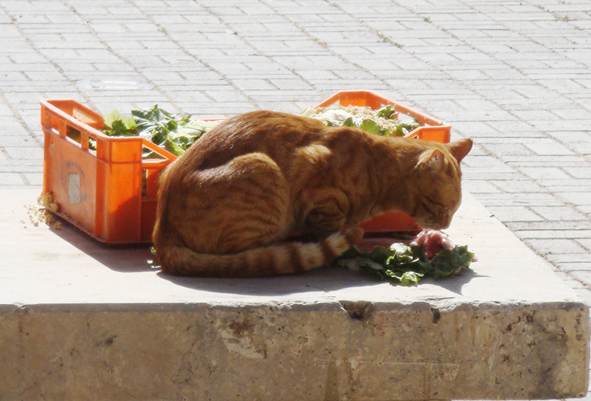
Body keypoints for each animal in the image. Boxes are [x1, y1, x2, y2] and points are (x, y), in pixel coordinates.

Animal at [151, 111, 472, 276]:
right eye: (442, 206)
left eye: (455, 210)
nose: (445, 225)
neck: (379, 169)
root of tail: (161, 230)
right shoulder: (319, 189)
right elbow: (327, 230)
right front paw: (343, 250)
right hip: (261, 167)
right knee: (243, 257)